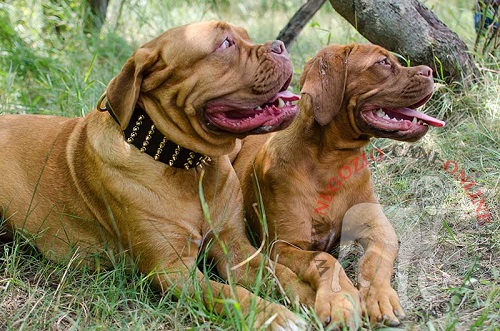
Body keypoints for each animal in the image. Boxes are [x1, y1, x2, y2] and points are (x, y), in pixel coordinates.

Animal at [0, 21, 314, 331]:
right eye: (225, 43)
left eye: (246, 36)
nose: (280, 46)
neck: (191, 167)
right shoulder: (172, 269)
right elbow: (228, 293)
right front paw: (274, 315)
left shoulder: (234, 246)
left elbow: (278, 272)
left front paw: (315, 297)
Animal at [233, 44, 446, 330]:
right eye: (382, 63)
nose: (430, 70)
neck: (332, 164)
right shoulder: (283, 245)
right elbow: (323, 259)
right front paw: (339, 301)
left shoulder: (380, 229)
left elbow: (375, 260)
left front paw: (378, 296)